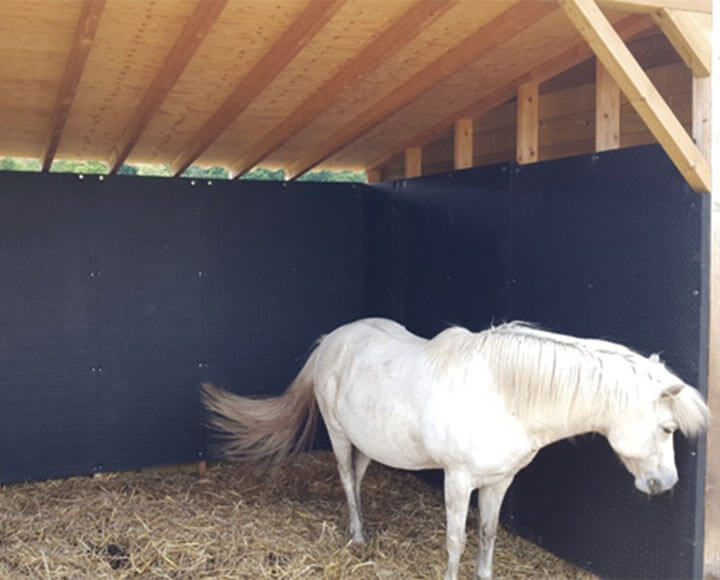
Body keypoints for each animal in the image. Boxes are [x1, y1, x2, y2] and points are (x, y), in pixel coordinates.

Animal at [202, 320, 708, 576]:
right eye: (667, 428)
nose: (666, 483)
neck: (503, 393)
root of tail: (332, 341)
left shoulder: (500, 480)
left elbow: (486, 535)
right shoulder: (458, 480)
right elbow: (455, 539)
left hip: (370, 440)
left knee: (360, 478)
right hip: (340, 435)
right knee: (346, 478)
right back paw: (359, 535)